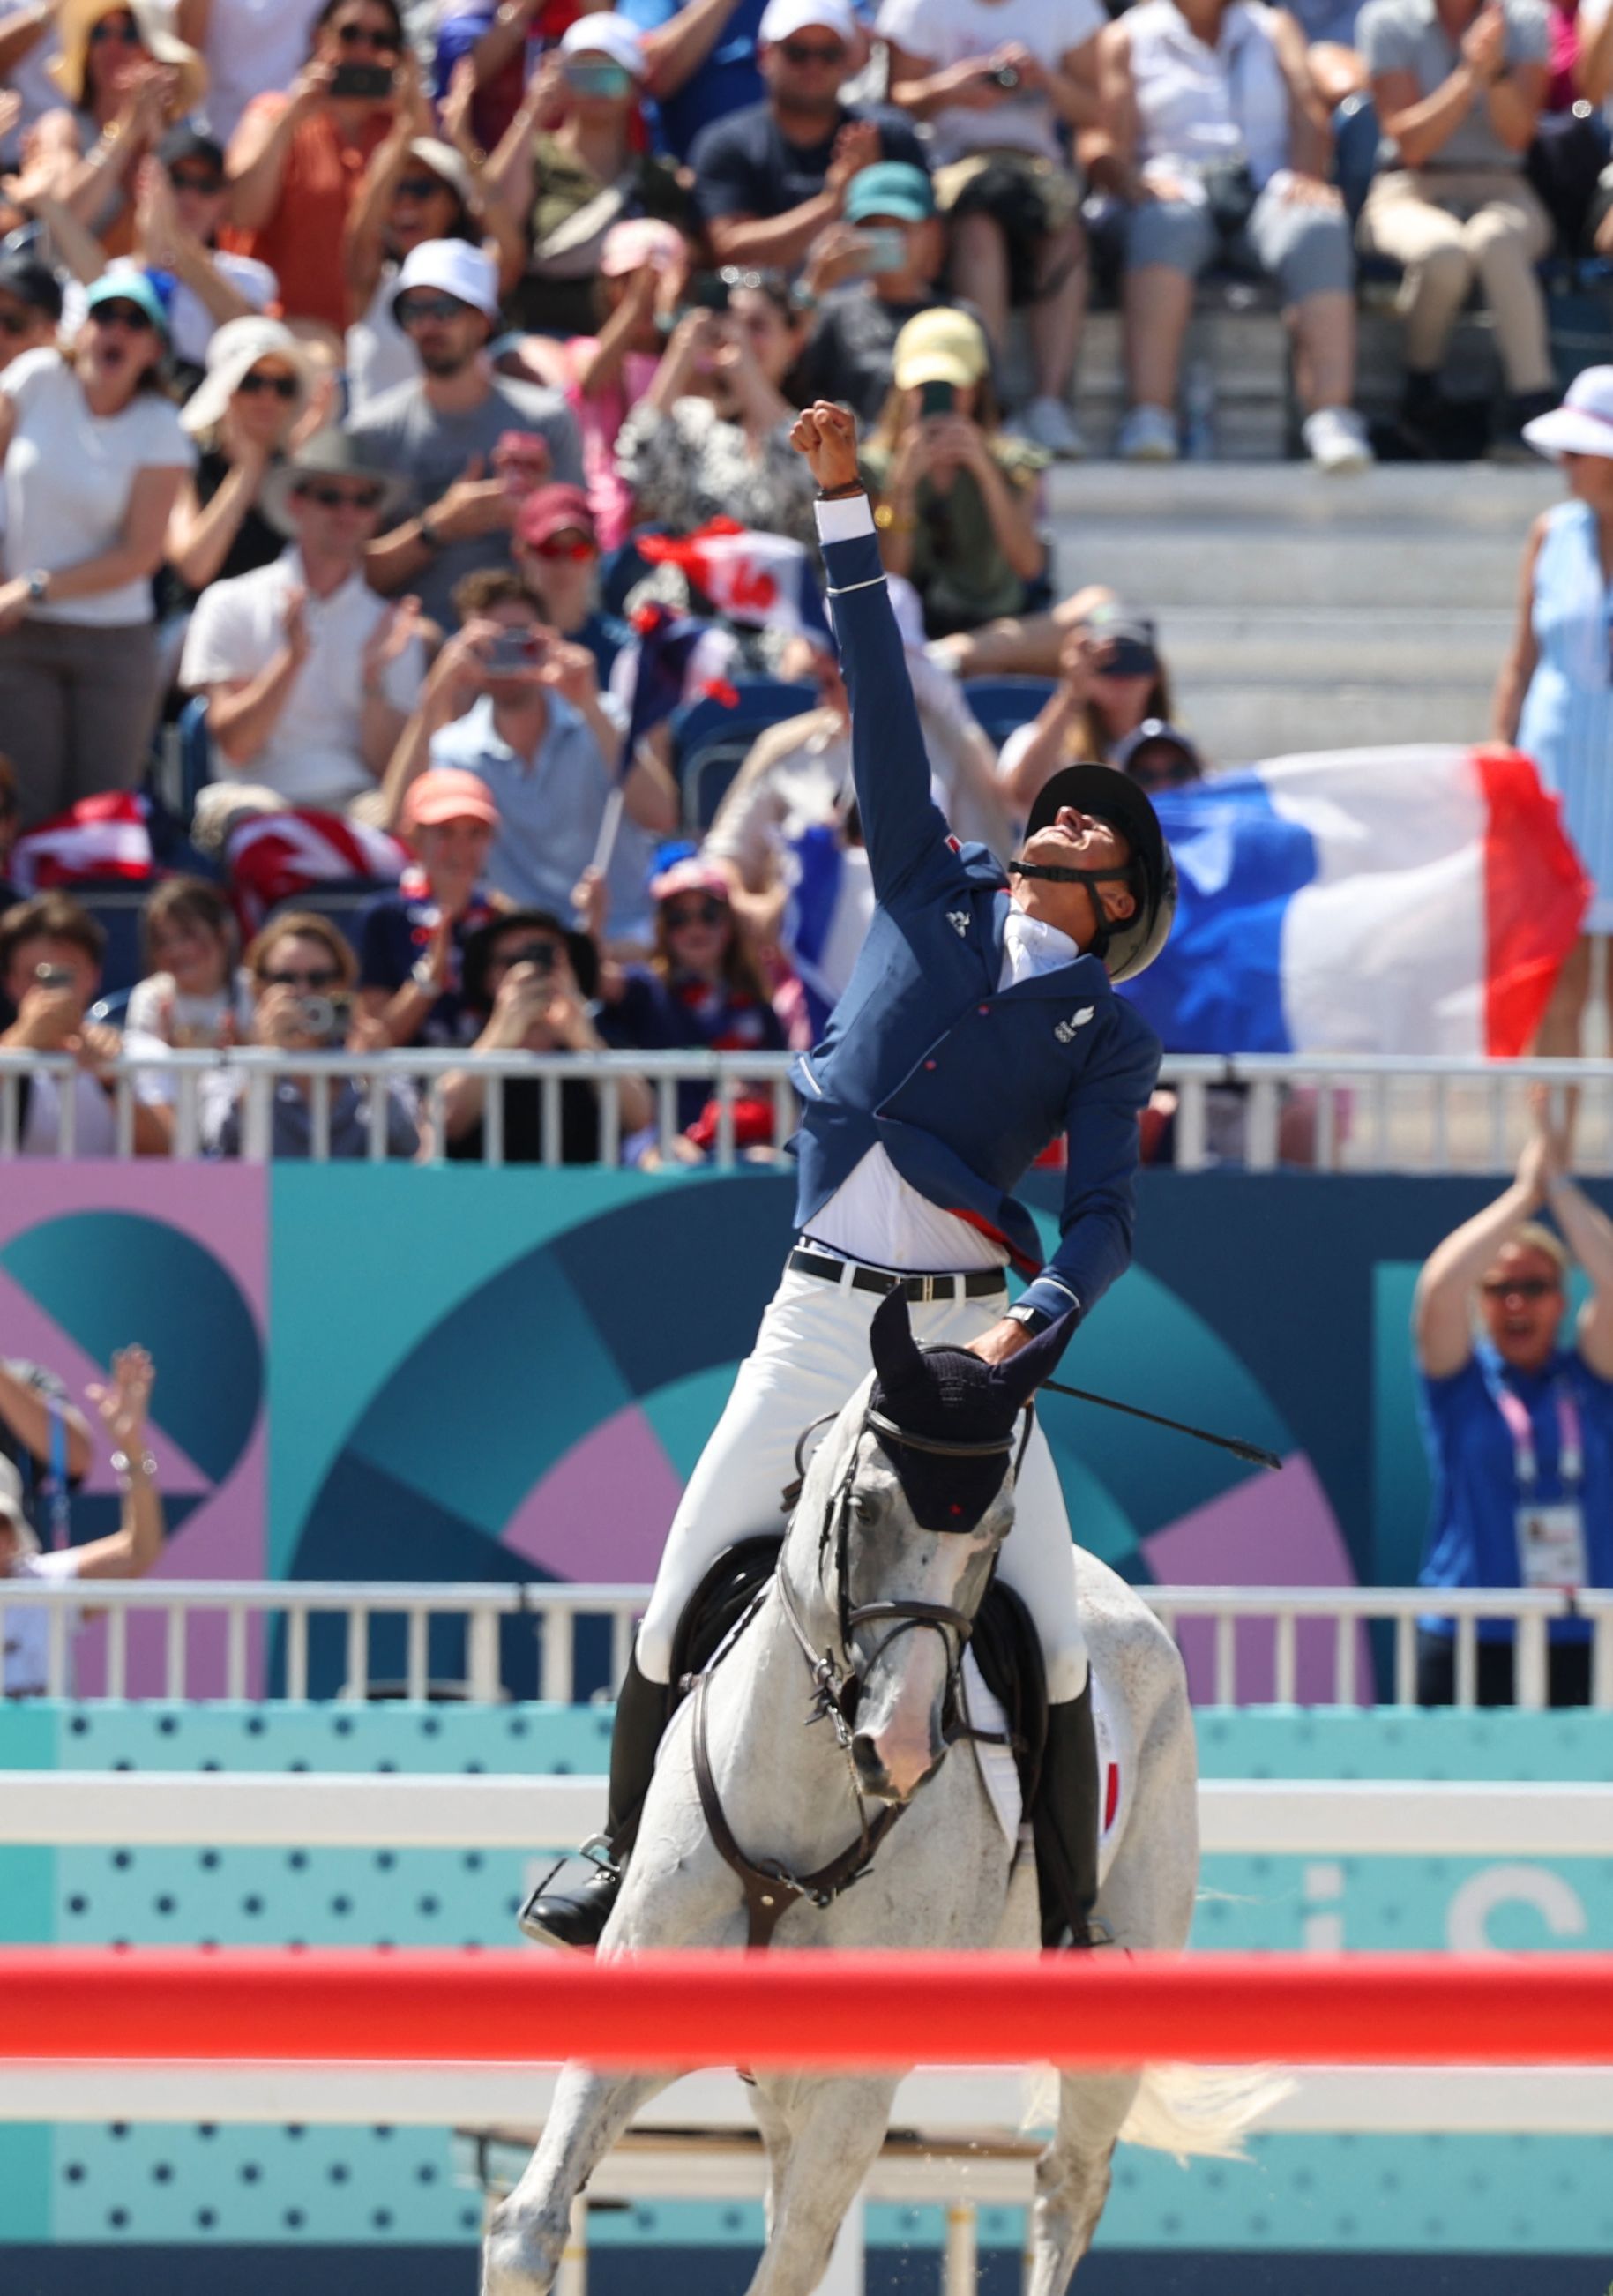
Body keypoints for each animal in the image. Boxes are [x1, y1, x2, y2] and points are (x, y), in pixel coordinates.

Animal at [486, 1295, 1266, 2296]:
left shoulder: (852, 2089)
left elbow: (789, 2264)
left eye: (997, 1529)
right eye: (862, 1506)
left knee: (1068, 2186)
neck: (802, 1807)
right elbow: (527, 2230)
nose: (893, 1747)